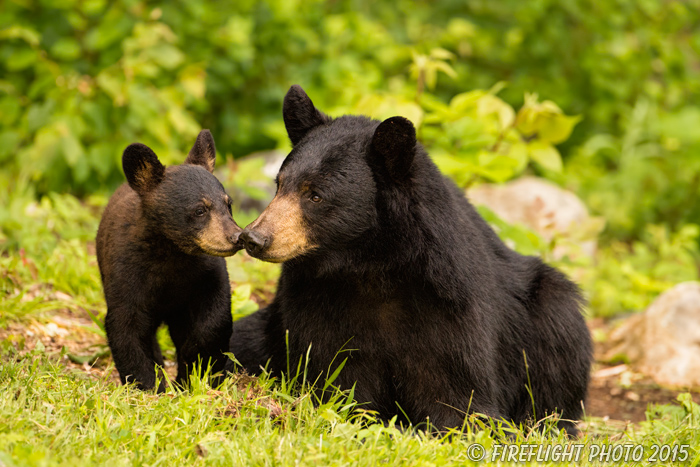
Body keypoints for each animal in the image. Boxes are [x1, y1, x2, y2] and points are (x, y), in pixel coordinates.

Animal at [97, 130, 242, 394]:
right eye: (200, 210)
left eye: (228, 204)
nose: (236, 237)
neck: (173, 254)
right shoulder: (127, 273)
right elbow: (125, 325)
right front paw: (149, 385)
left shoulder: (207, 272)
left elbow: (216, 316)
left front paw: (196, 365)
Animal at [231, 86, 592, 436]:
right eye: (280, 185)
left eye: (315, 195)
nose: (254, 238)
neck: (368, 266)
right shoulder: (311, 299)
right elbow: (333, 374)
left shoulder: (449, 305)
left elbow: (457, 393)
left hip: (547, 310)